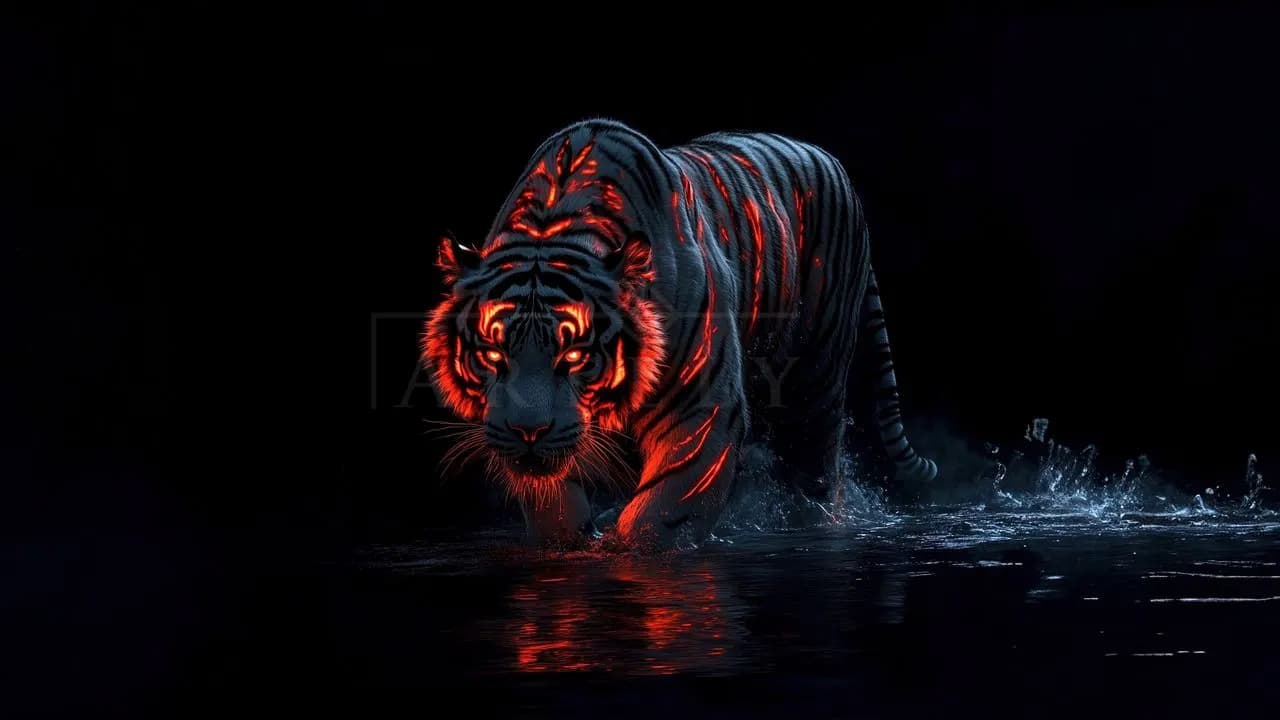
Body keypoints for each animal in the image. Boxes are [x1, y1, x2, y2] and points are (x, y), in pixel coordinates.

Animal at [423, 119, 937, 548]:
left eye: (573, 357)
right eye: (493, 355)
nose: (528, 431)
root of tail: (830, 160)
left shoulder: (702, 406)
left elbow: (666, 509)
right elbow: (554, 504)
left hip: (817, 373)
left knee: (815, 466)